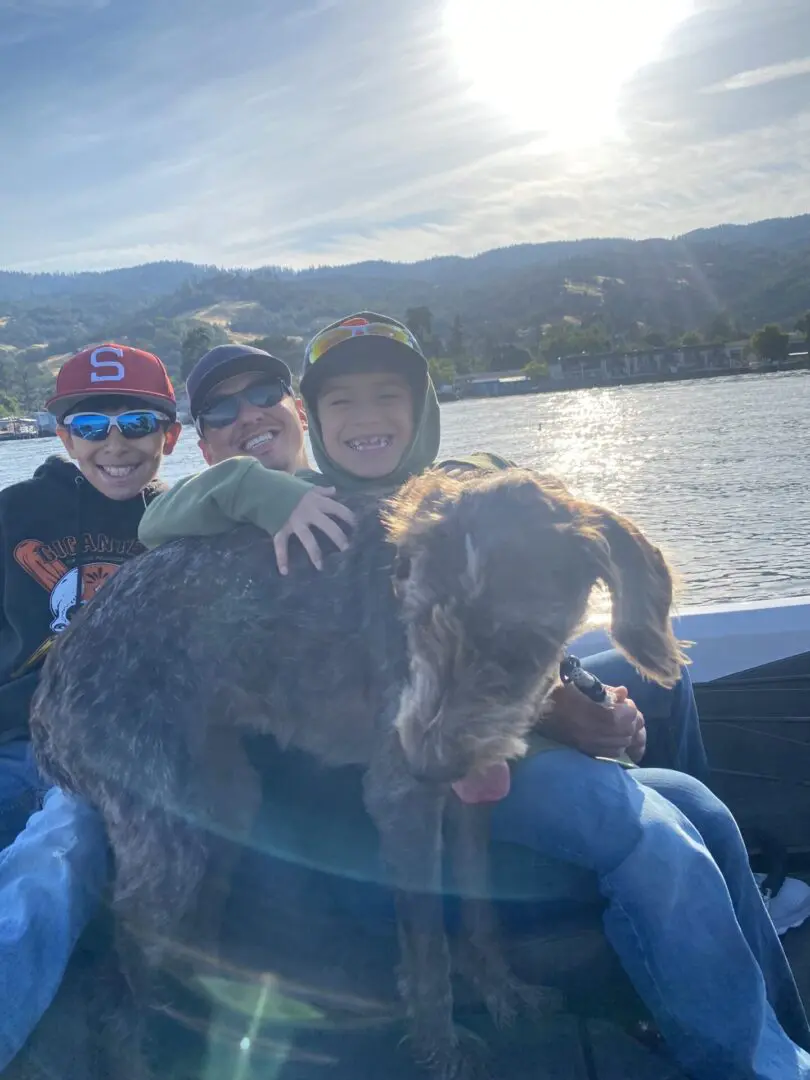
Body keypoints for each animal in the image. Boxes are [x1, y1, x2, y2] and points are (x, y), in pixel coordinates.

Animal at [23, 470, 686, 1080]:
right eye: (416, 618)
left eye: (520, 639)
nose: (426, 762)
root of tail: (47, 693)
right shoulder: (403, 802)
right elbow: (428, 947)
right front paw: (441, 1050)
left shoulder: (469, 798)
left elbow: (479, 913)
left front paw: (502, 992)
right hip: (167, 841)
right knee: (115, 996)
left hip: (222, 797)